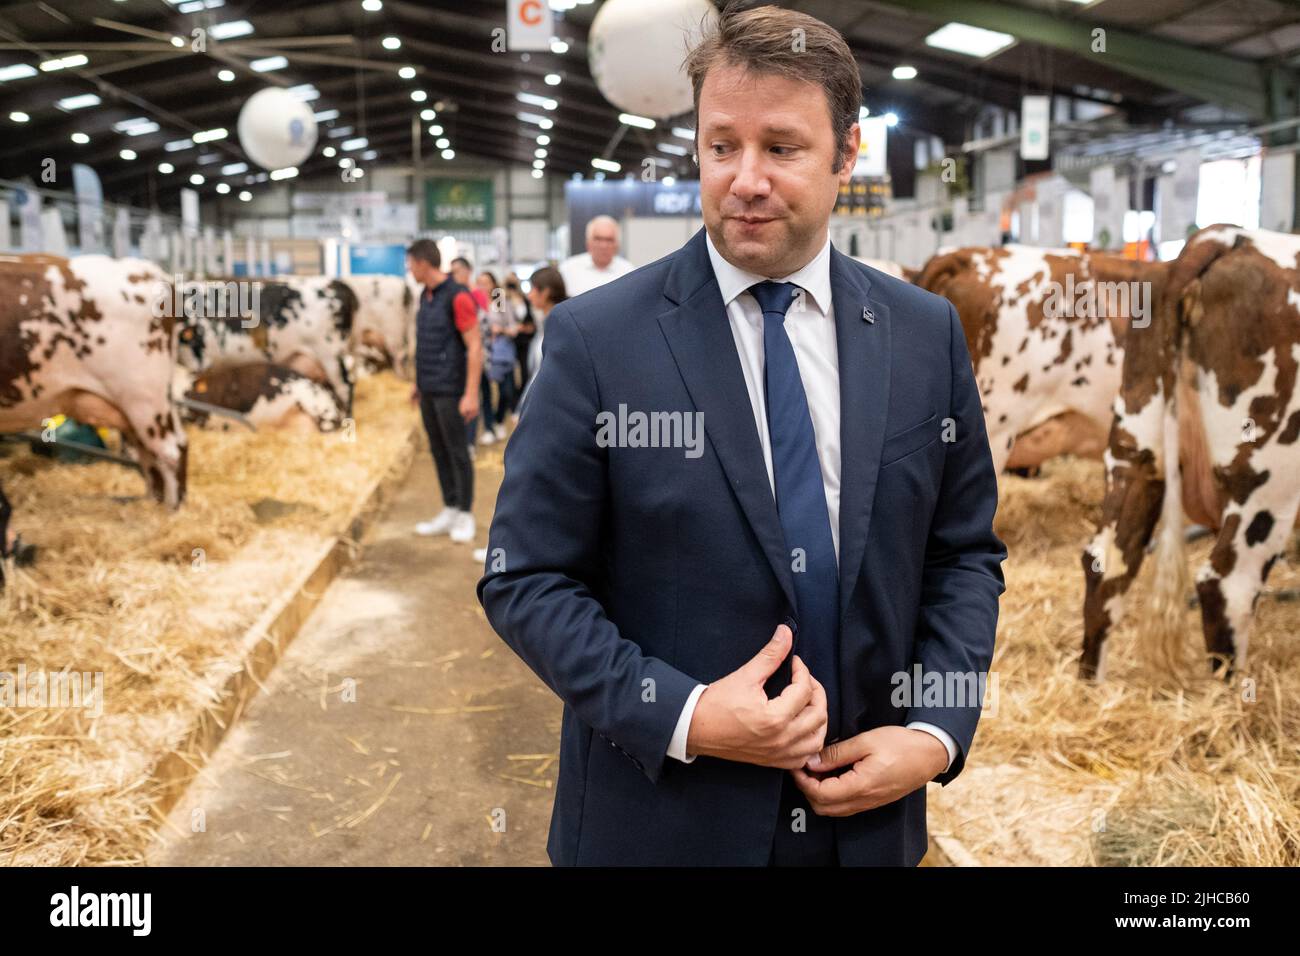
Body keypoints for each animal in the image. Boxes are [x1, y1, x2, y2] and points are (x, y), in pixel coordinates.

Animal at [0, 254, 188, 509]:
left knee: (171, 452)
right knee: (153, 453)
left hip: (143, 399)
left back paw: (169, 511)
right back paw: (150, 505)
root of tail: (146, 269)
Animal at [1076, 223, 1300, 681]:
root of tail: (1224, 238)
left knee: (1106, 565)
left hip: (1135, 449)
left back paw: (1091, 685)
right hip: (1268, 476)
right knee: (1227, 585)